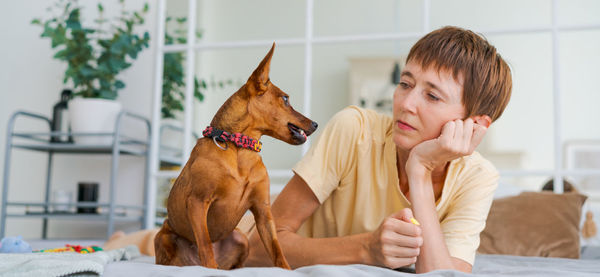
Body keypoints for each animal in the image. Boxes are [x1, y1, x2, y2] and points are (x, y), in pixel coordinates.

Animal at [152, 44, 316, 268]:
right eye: (285, 99)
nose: (316, 124)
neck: (240, 148)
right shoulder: (197, 202)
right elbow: (205, 245)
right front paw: (210, 270)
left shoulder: (263, 212)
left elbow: (277, 251)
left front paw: (286, 269)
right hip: (164, 236)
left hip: (241, 237)